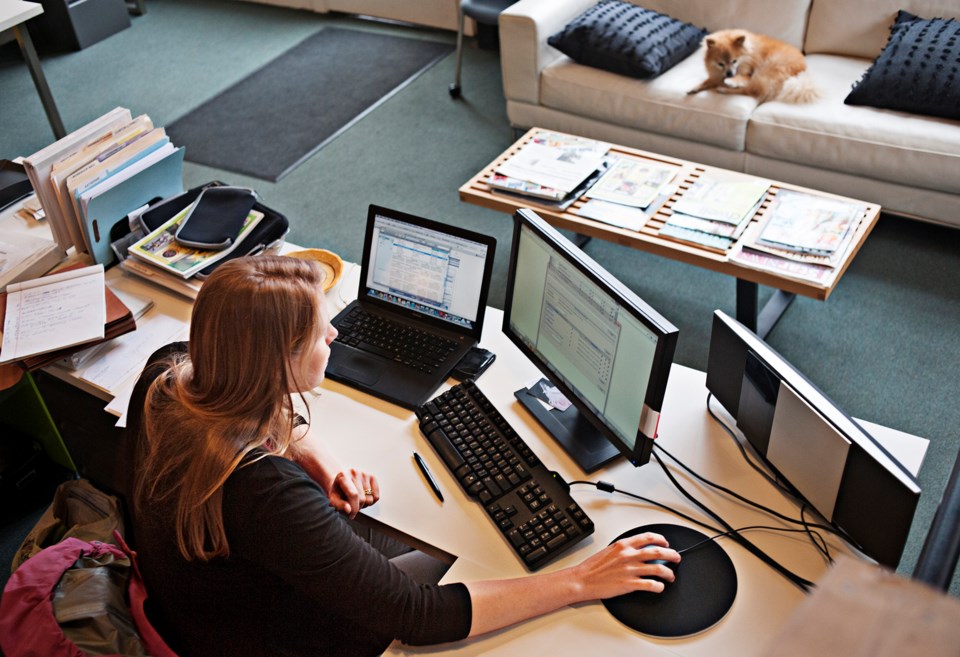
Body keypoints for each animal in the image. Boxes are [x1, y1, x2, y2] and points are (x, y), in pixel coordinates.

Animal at [688, 29, 816, 103]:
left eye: (734, 61)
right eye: (721, 64)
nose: (729, 73)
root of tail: (801, 71)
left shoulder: (746, 74)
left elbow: (742, 80)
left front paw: (732, 81)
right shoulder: (716, 76)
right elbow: (707, 81)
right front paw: (694, 87)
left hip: (766, 69)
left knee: (749, 89)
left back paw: (724, 89)